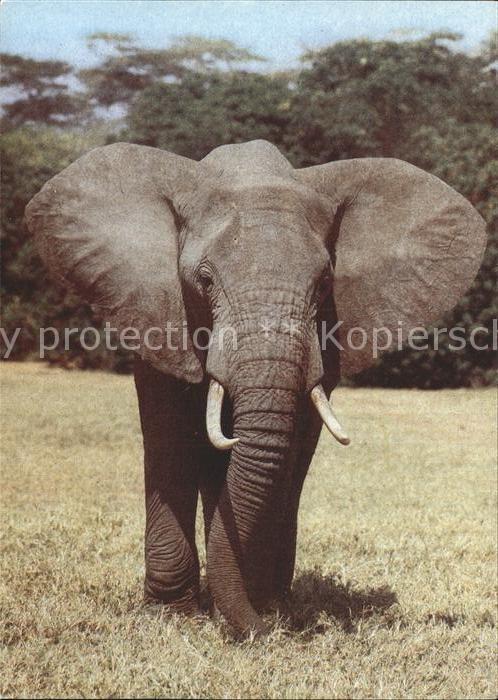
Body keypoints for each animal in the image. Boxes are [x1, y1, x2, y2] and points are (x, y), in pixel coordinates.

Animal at [25, 139, 486, 637]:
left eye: (325, 283)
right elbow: (169, 435)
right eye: (204, 280)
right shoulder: (156, 310)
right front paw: (173, 616)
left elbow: (293, 441)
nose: (265, 629)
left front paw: (261, 604)